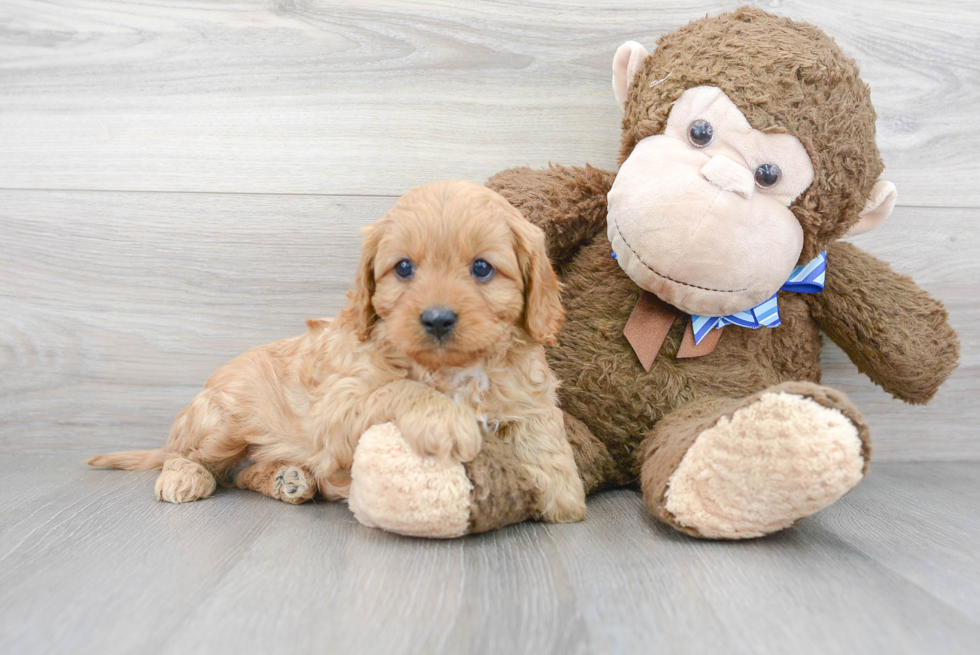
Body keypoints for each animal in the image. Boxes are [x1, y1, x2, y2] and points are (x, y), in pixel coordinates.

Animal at [88, 178, 584, 532]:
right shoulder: (339, 408)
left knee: (242, 475)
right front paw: (446, 419)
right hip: (222, 419)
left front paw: (562, 490)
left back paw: (288, 478)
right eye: (404, 268)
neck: (454, 369)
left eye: (482, 268)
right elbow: (400, 389)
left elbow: (541, 428)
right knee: (194, 456)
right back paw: (185, 476)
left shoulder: (527, 390)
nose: (438, 319)